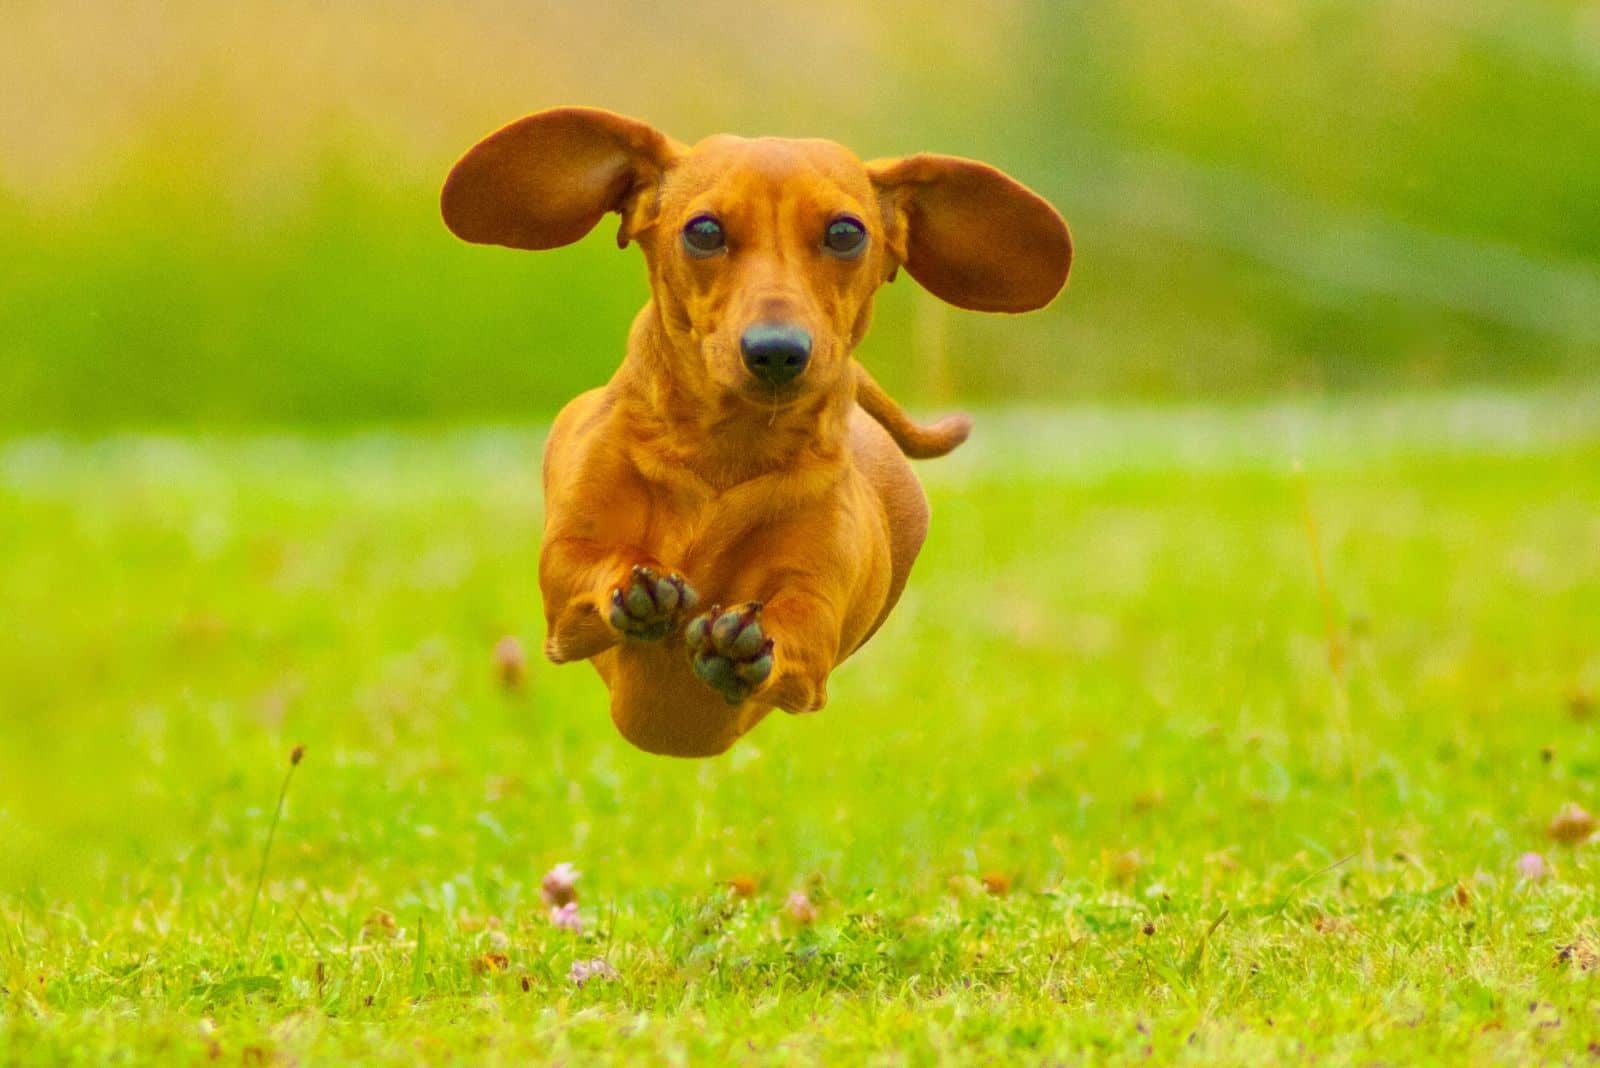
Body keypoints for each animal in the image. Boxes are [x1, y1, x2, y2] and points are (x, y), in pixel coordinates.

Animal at [444, 106, 1068, 757]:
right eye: (704, 231)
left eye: (845, 233)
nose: (776, 351)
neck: (727, 452)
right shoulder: (564, 603)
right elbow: (594, 563)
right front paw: (637, 586)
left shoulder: (813, 629)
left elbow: (794, 627)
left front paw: (741, 646)